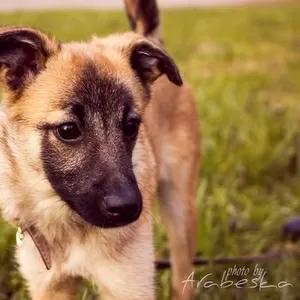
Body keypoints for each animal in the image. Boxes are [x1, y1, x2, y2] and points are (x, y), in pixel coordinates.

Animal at [0, 1, 200, 298]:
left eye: (131, 125)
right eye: (68, 130)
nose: (128, 209)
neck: (69, 227)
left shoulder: (129, 286)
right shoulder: (49, 286)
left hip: (180, 211)